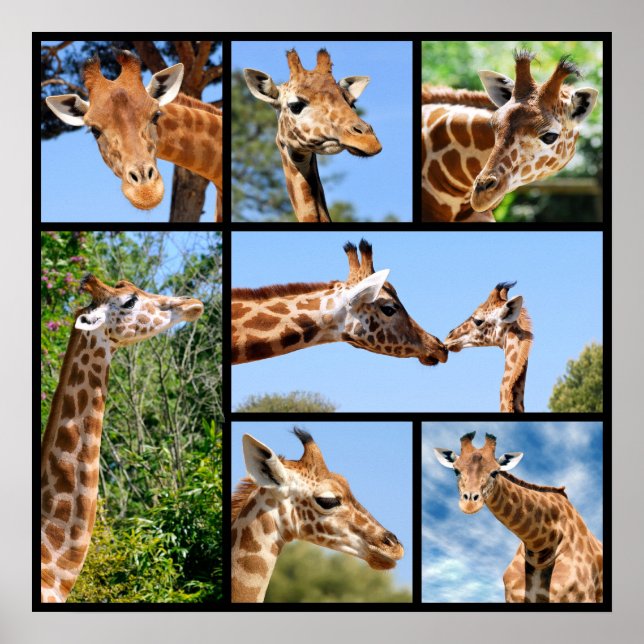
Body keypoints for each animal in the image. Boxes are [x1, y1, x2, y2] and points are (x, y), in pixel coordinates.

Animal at [433, 432, 603, 603]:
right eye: (456, 471)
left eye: (495, 472)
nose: (469, 504)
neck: (541, 548)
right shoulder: (513, 597)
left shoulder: (583, 597)